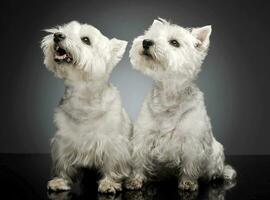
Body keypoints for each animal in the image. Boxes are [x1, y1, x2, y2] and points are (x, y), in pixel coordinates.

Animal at [40, 20, 132, 194]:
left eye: (86, 40)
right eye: (64, 29)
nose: (57, 35)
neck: (84, 95)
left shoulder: (113, 142)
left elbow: (112, 163)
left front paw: (109, 183)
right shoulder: (63, 140)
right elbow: (63, 163)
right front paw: (60, 181)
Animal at [126, 18, 236, 191]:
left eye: (174, 42)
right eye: (152, 35)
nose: (146, 42)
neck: (169, 95)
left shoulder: (192, 140)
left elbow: (190, 163)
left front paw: (188, 182)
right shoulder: (143, 136)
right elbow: (139, 159)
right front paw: (135, 179)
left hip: (216, 153)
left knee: (218, 170)